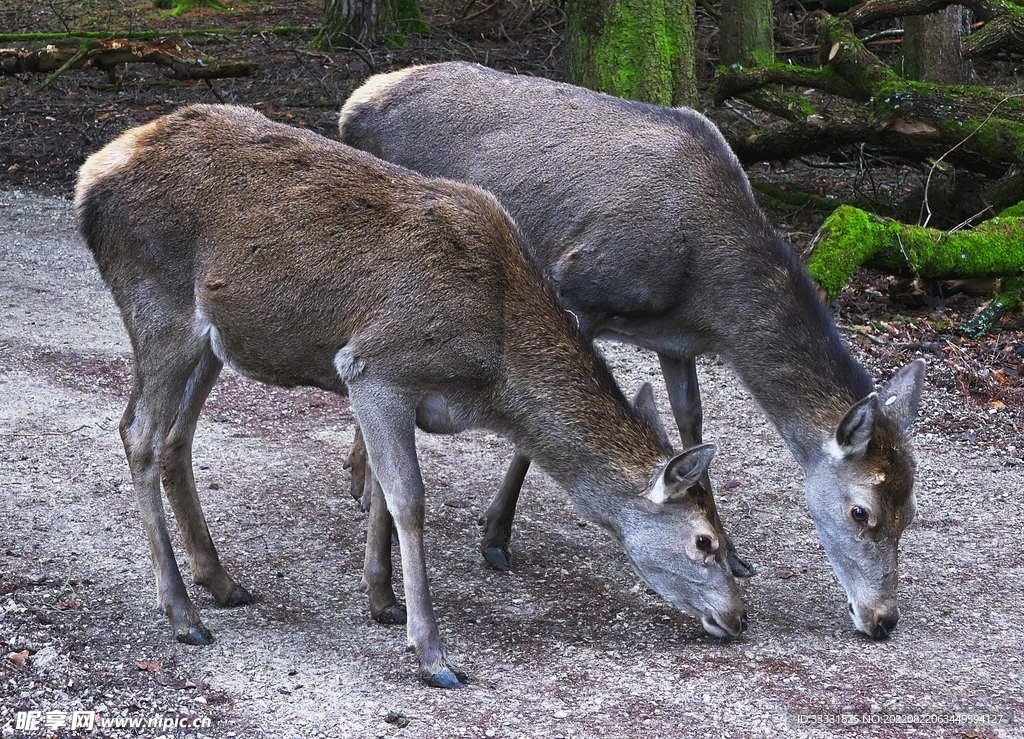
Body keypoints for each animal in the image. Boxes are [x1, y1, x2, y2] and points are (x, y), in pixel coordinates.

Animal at [75, 104, 747, 689]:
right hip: (158, 306)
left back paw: (222, 582)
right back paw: (183, 615)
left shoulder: (396, 393)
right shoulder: (374, 367)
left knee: (176, 438)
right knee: (137, 432)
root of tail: (91, 174)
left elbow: (379, 489)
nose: (739, 617)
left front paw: (381, 599)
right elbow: (408, 499)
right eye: (705, 541)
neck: (493, 372)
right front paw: (432, 654)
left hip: (214, 340)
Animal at [337, 62, 927, 641]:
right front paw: (496, 536)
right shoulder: (578, 290)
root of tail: (353, 104)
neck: (706, 290)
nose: (884, 619)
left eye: (911, 512)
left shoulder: (675, 340)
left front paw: (735, 554)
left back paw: (361, 479)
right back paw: (367, 486)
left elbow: (691, 420)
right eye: (861, 511)